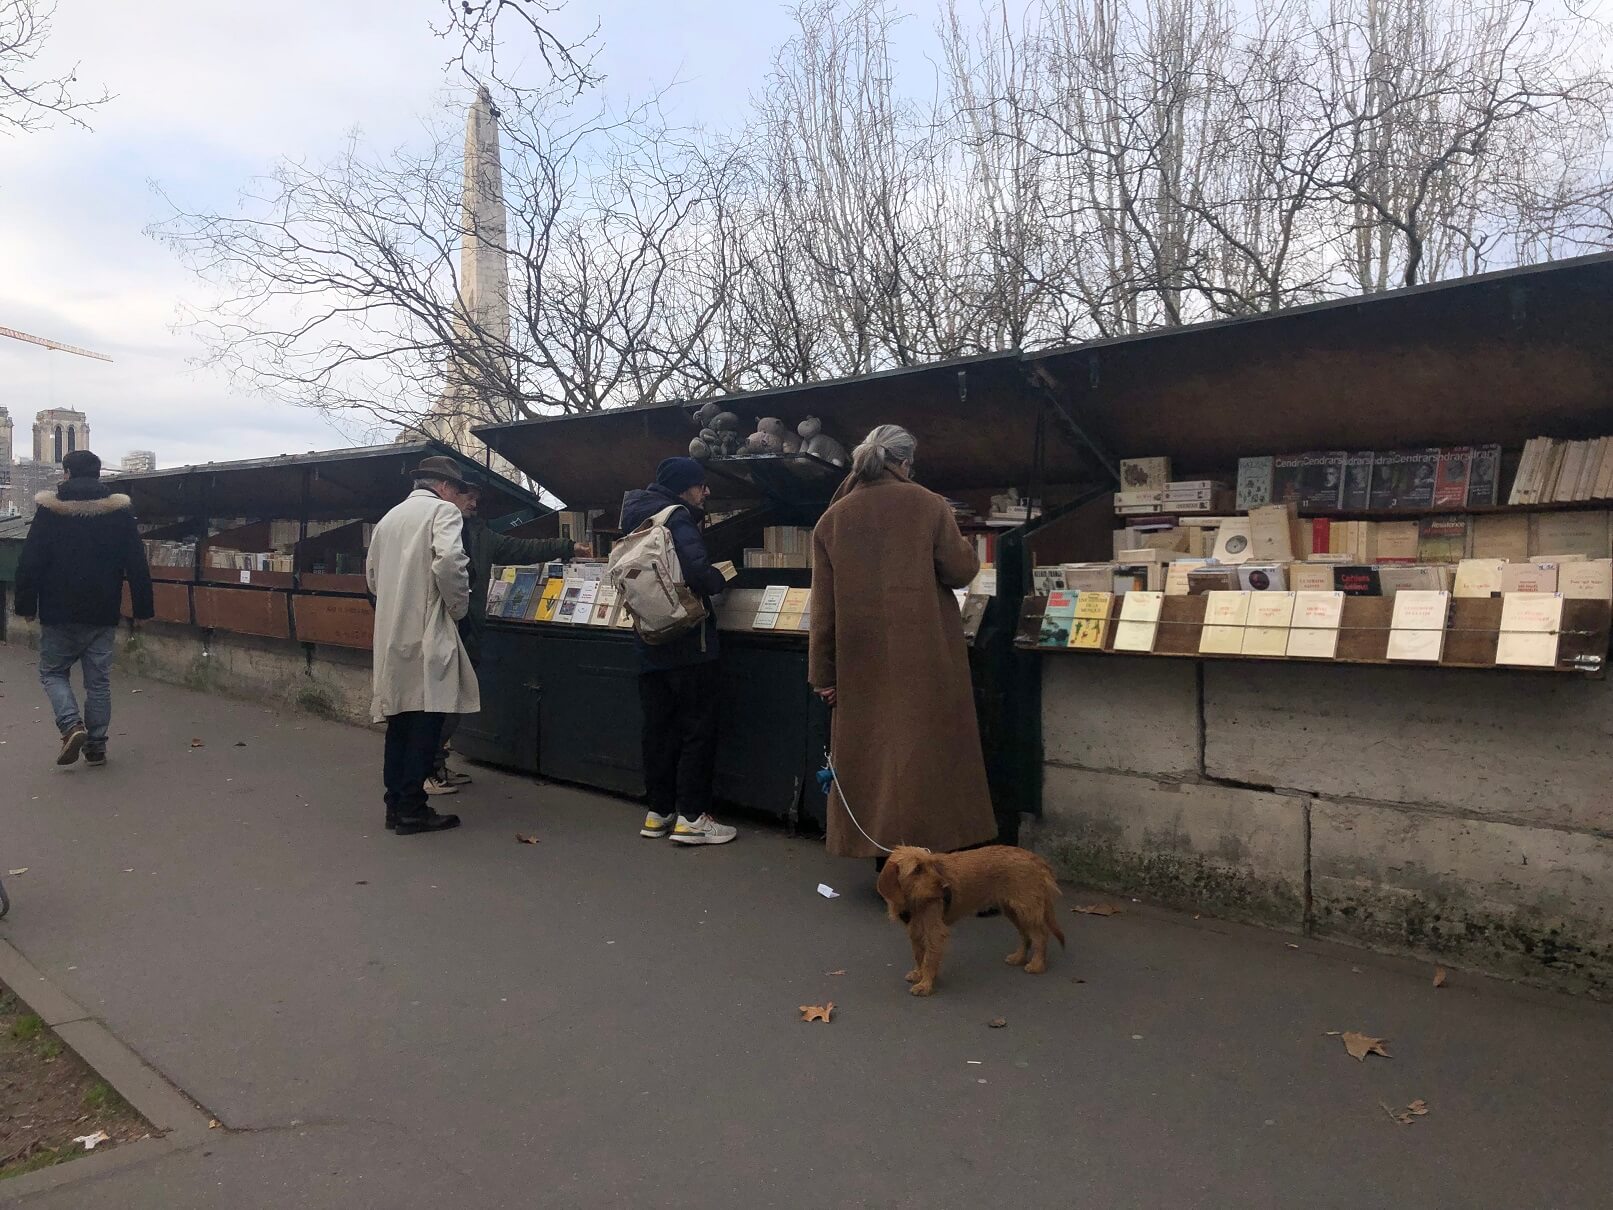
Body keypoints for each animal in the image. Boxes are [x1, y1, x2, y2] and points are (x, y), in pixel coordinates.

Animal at [877, 845, 1064, 1000]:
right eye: (917, 869)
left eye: (931, 864)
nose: (946, 888)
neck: (913, 901)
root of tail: (1034, 857)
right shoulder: (915, 929)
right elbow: (919, 955)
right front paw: (919, 973)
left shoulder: (934, 931)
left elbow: (929, 959)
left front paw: (925, 984)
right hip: (1013, 910)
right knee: (1026, 935)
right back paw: (1019, 957)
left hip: (1026, 909)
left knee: (1041, 936)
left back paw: (1037, 965)